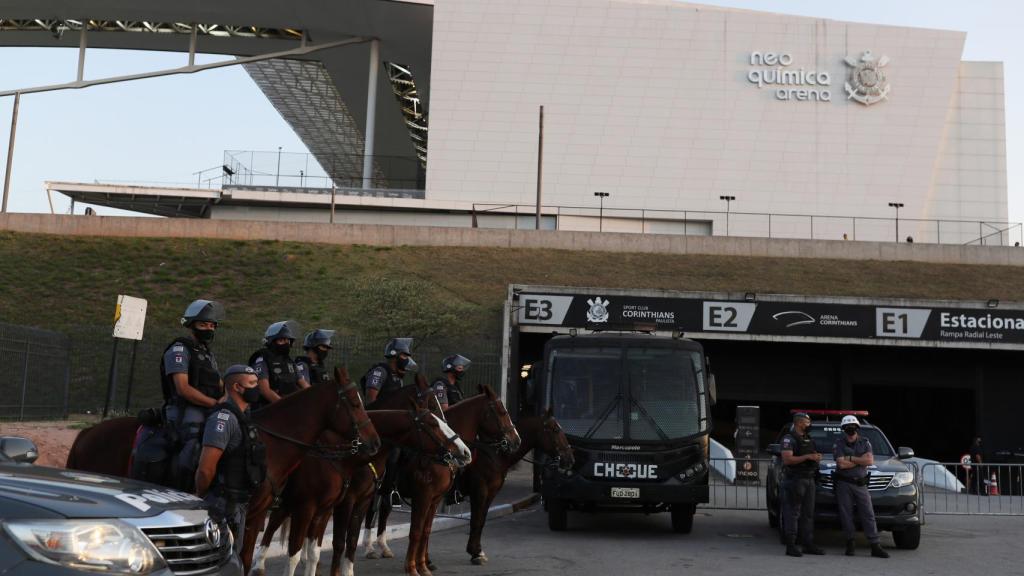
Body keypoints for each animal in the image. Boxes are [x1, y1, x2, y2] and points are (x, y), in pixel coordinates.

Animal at [464, 405, 577, 561]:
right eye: (555, 430)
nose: (570, 459)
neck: (495, 454)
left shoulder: (490, 492)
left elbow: (481, 520)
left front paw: (476, 550)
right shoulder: (480, 490)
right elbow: (476, 519)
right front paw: (476, 553)